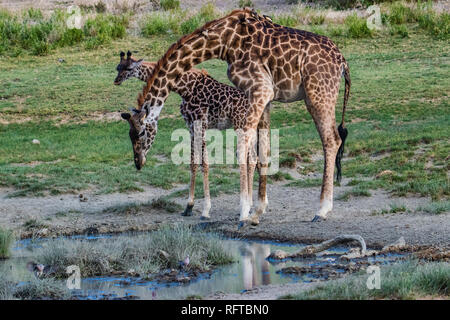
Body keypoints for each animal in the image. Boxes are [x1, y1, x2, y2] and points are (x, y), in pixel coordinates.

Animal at [117, 51, 270, 219]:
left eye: (142, 132)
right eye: (118, 67)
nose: (138, 163)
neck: (184, 87)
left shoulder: (200, 123)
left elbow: (205, 162)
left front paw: (206, 210)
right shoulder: (190, 126)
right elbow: (193, 162)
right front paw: (189, 206)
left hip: (241, 126)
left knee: (251, 158)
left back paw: (248, 206)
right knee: (257, 158)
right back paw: (257, 204)